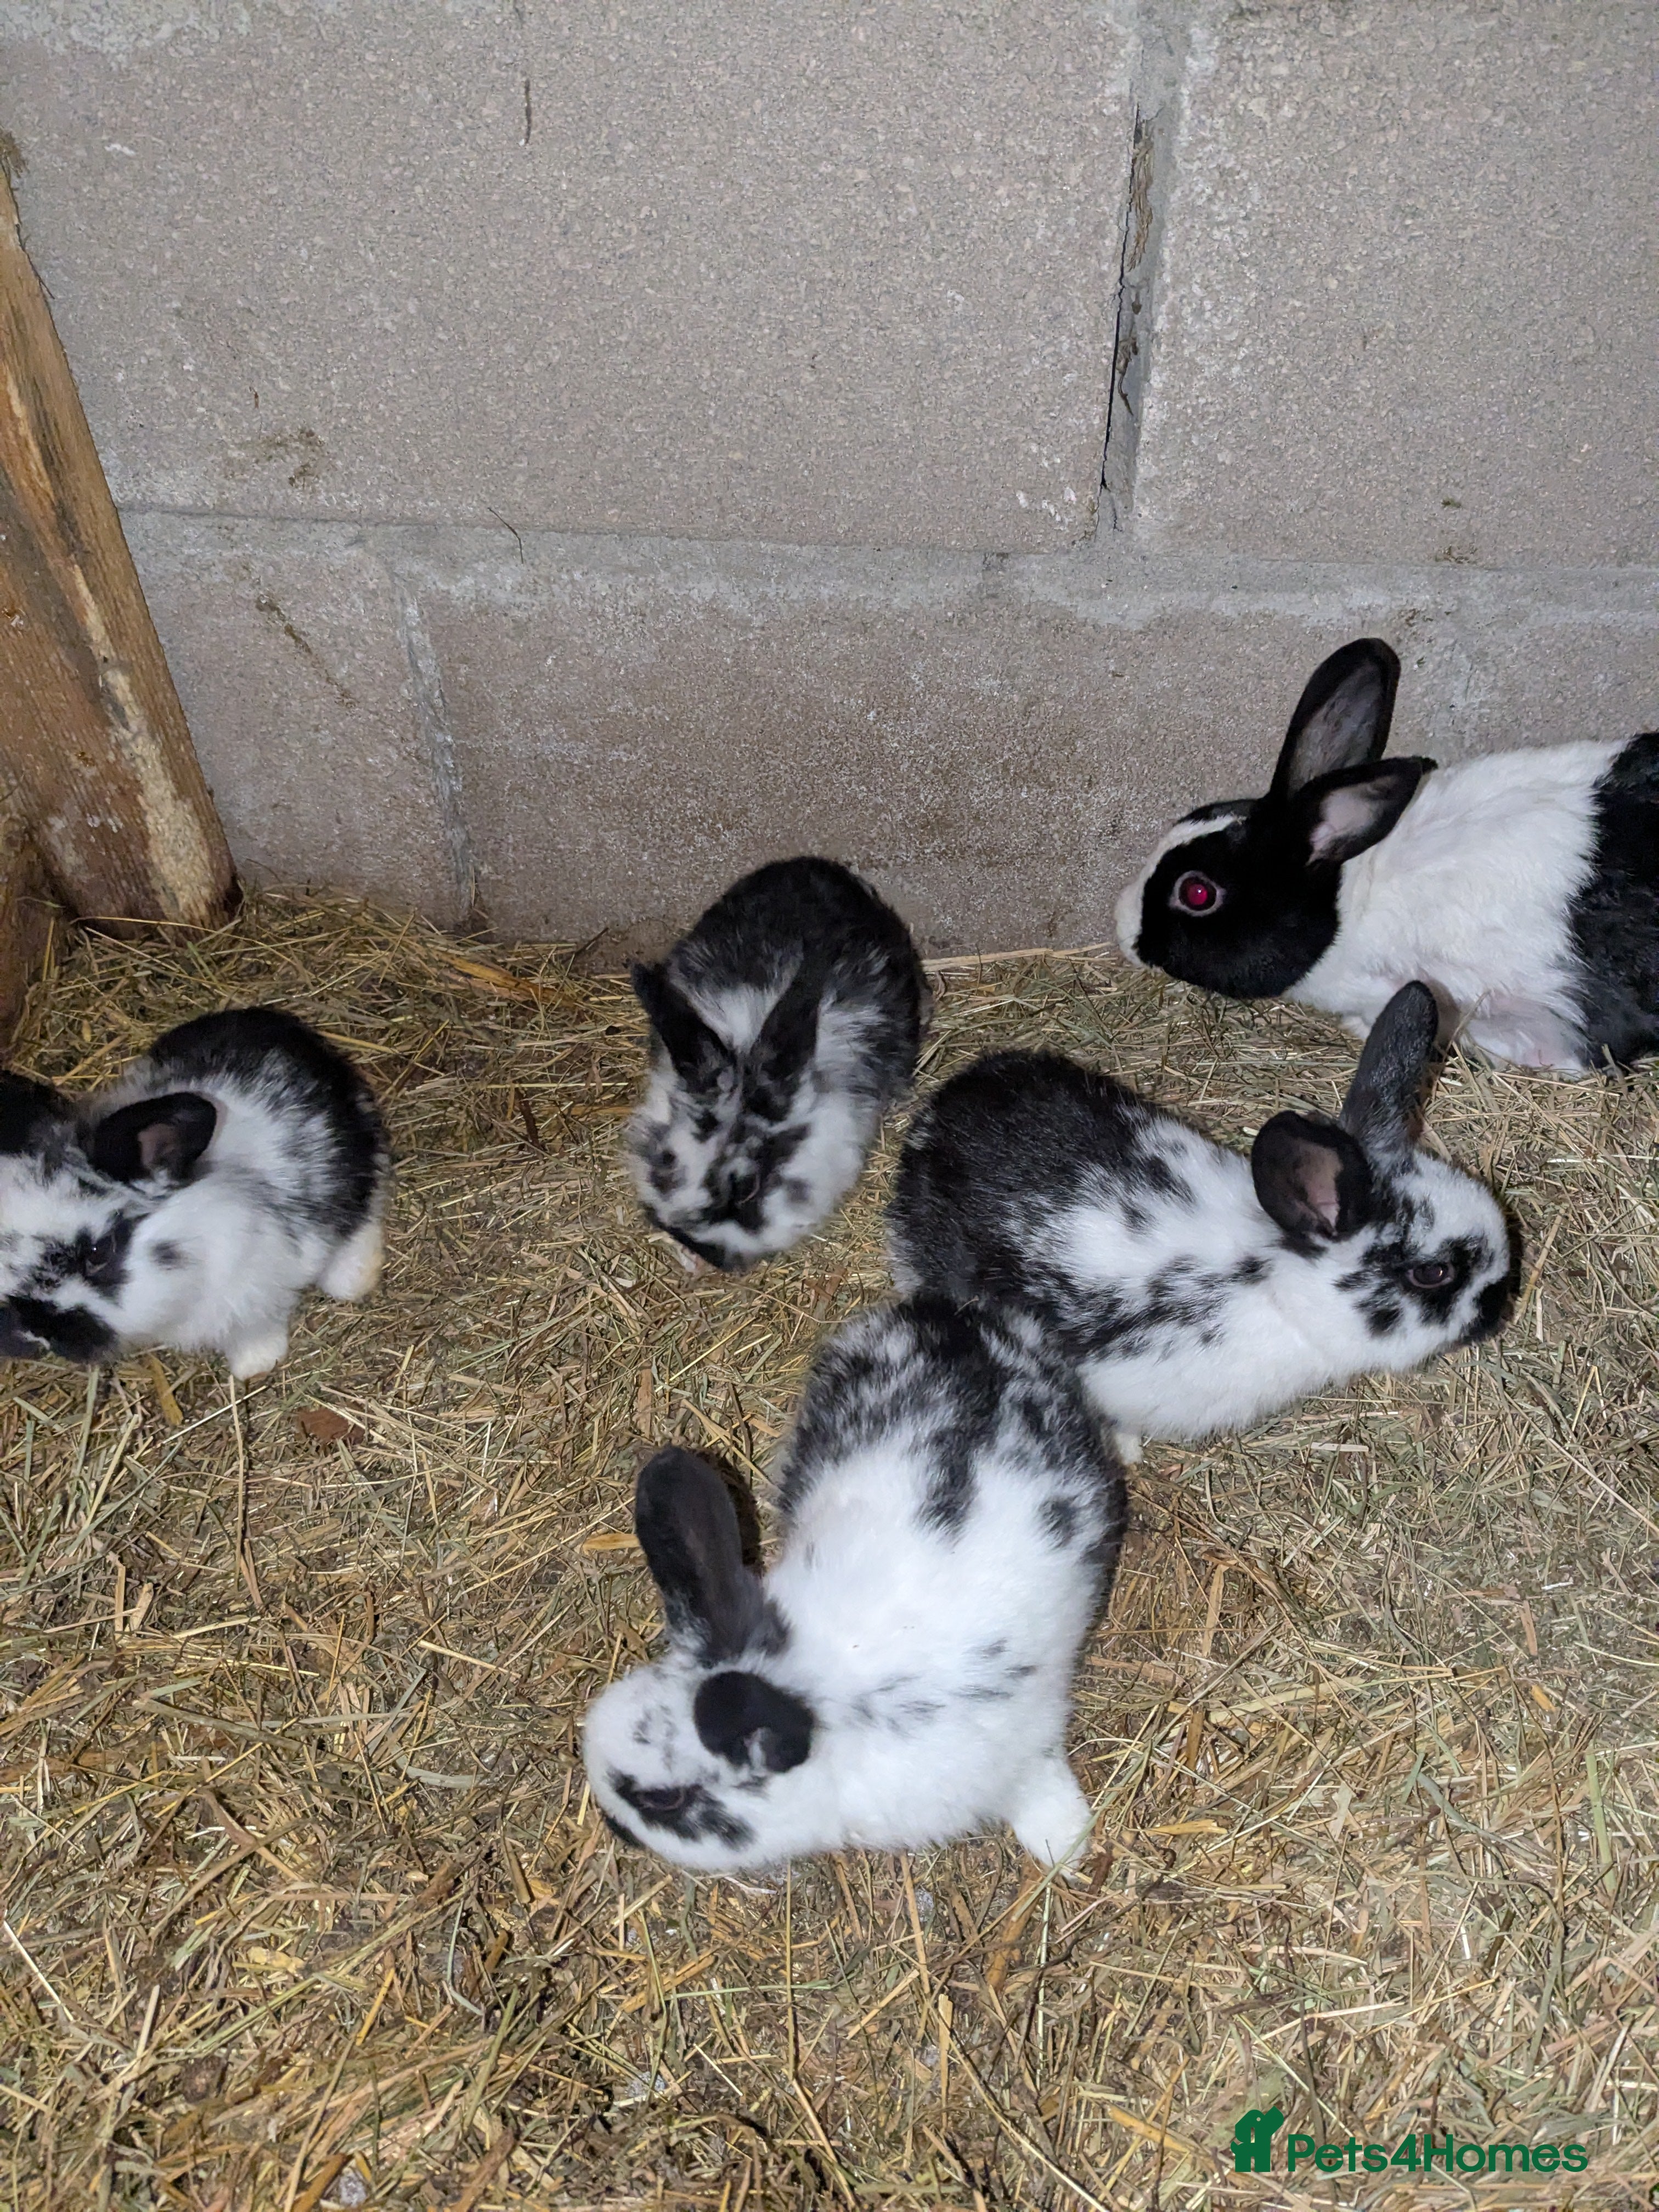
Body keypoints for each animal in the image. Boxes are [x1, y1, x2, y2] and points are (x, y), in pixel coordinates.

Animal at [583, 1294, 1127, 1873]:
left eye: (665, 1799)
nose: (613, 1825)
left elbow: (1037, 1787)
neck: (822, 1698)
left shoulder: (1025, 1742)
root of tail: (953, 1318)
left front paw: (1066, 1847)